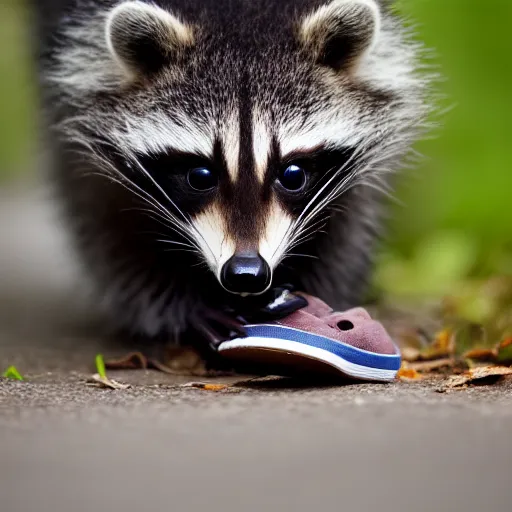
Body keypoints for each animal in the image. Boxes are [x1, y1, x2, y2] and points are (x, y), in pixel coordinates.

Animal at [28, 0, 428, 344]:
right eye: (200, 176)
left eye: (293, 175)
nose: (246, 274)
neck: (237, 9)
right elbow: (107, 220)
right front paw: (182, 304)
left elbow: (350, 218)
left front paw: (322, 295)